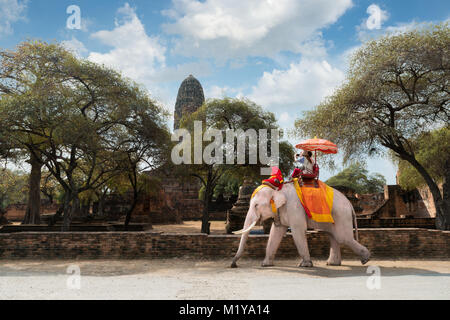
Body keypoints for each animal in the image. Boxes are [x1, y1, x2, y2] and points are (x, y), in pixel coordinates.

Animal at [230, 181, 370, 268]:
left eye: (256, 205)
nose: (233, 265)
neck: (277, 189)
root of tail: (350, 204)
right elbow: (275, 233)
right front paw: (265, 265)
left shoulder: (294, 208)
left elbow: (298, 231)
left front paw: (305, 265)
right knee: (333, 235)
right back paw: (332, 264)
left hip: (341, 215)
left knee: (343, 237)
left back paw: (365, 259)